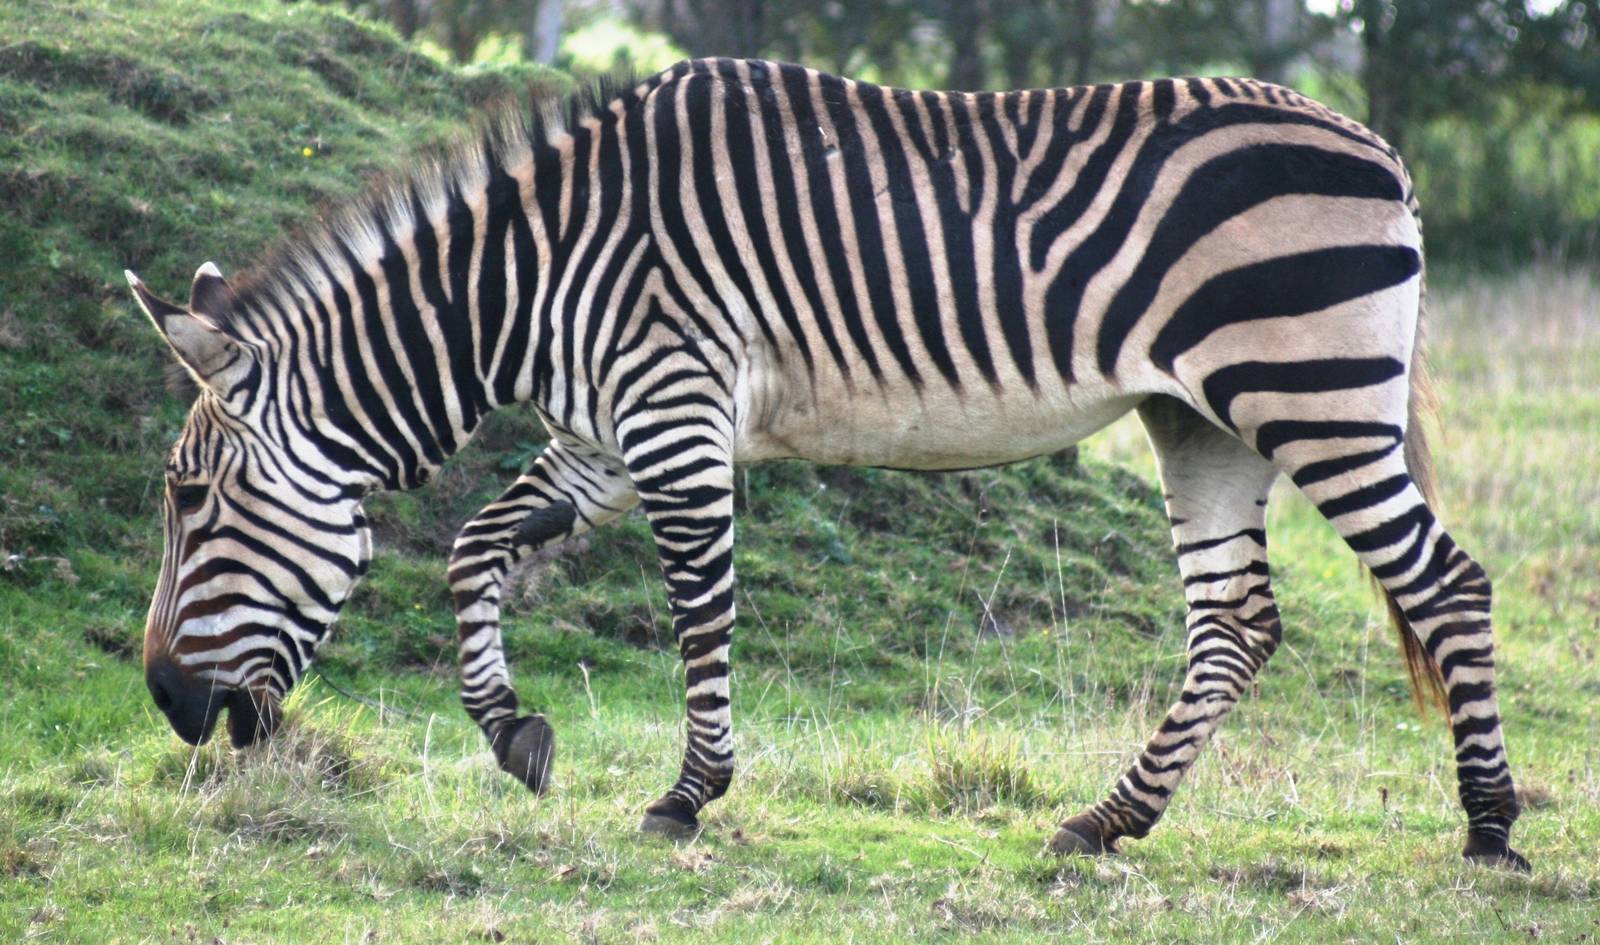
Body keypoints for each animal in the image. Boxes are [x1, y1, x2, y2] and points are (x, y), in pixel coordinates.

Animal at [127, 58, 1526, 869]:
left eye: (190, 501)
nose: (173, 711)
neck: (529, 279)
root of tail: (1375, 149)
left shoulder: (674, 410)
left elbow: (698, 610)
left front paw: (687, 795)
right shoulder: (602, 436)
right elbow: (477, 549)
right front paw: (512, 730)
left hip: (1312, 398)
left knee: (1445, 585)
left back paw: (1489, 829)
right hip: (1203, 424)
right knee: (1237, 624)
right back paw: (1106, 821)